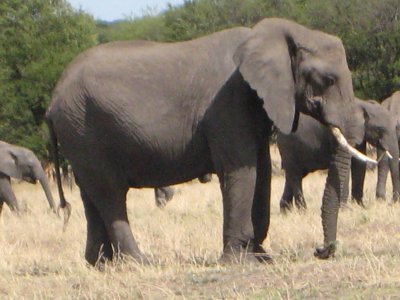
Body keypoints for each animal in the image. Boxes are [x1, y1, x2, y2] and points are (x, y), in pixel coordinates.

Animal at [46, 18, 376, 264]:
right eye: (327, 80)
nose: (321, 250)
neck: (269, 36)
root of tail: (53, 99)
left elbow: (262, 171)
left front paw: (261, 257)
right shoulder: (228, 103)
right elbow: (241, 171)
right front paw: (239, 262)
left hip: (79, 132)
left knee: (91, 195)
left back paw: (101, 264)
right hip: (85, 129)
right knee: (111, 194)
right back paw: (139, 262)